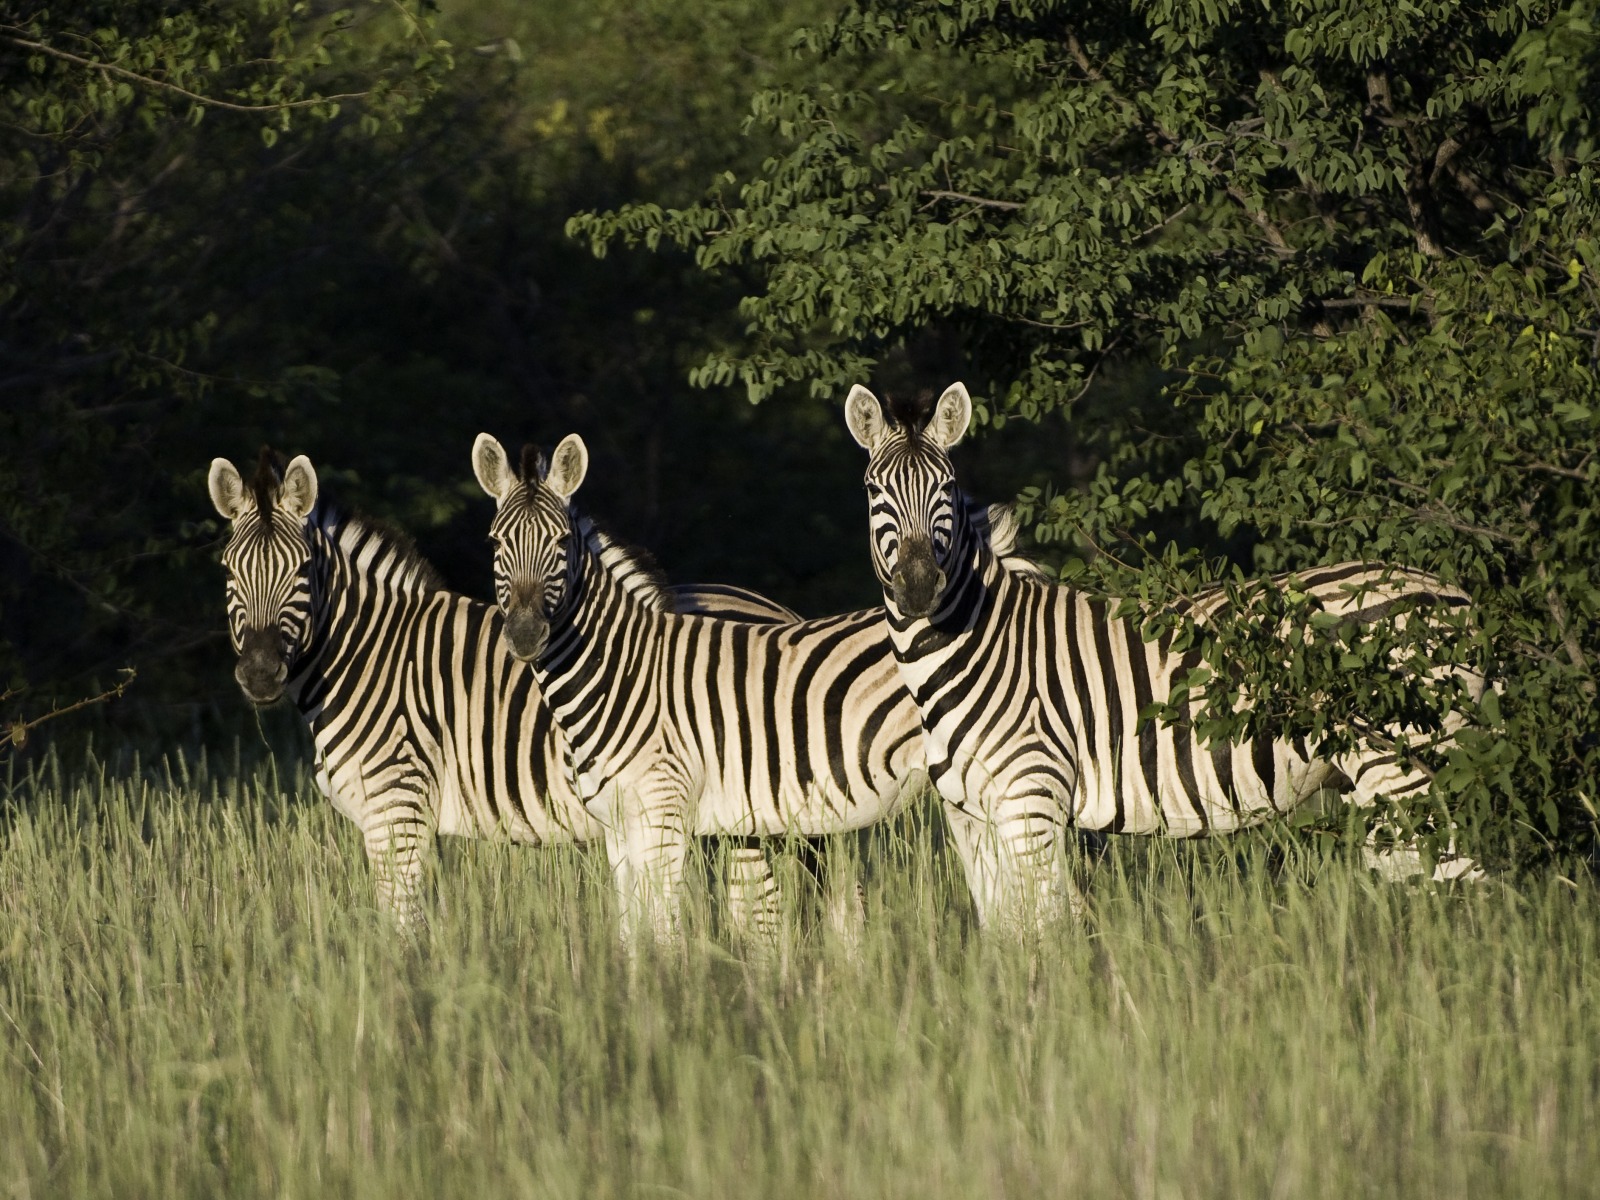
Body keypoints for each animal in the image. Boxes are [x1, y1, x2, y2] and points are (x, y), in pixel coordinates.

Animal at [208, 447, 802, 929]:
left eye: (302, 570)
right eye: (229, 571)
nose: (259, 672)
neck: (372, 654)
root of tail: (776, 609)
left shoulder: (397, 807)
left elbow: (399, 929)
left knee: (764, 913)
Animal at [470, 432, 946, 943]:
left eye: (561, 541)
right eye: (495, 541)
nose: (524, 634)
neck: (626, 670)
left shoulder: (664, 817)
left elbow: (663, 930)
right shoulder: (619, 826)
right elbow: (631, 931)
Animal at [844, 381, 1485, 929]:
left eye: (946, 489)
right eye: (874, 492)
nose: (918, 586)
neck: (973, 646)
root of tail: (1454, 594)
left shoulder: (1032, 800)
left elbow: (1049, 934)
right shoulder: (974, 816)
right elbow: (1008, 933)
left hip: (1410, 767)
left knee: (1459, 885)